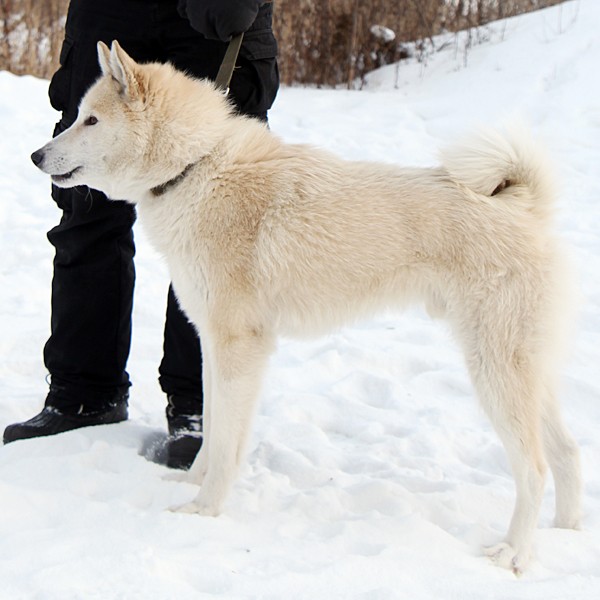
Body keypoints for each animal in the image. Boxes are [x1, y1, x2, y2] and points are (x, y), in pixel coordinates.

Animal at [31, 41, 581, 573]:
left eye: (91, 120)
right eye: (78, 115)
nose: (36, 155)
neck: (195, 167)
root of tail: (523, 208)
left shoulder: (239, 348)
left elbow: (226, 444)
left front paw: (204, 510)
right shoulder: (214, 346)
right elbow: (212, 433)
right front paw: (192, 486)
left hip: (494, 371)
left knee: (534, 469)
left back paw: (513, 555)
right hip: (526, 373)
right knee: (568, 454)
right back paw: (567, 533)